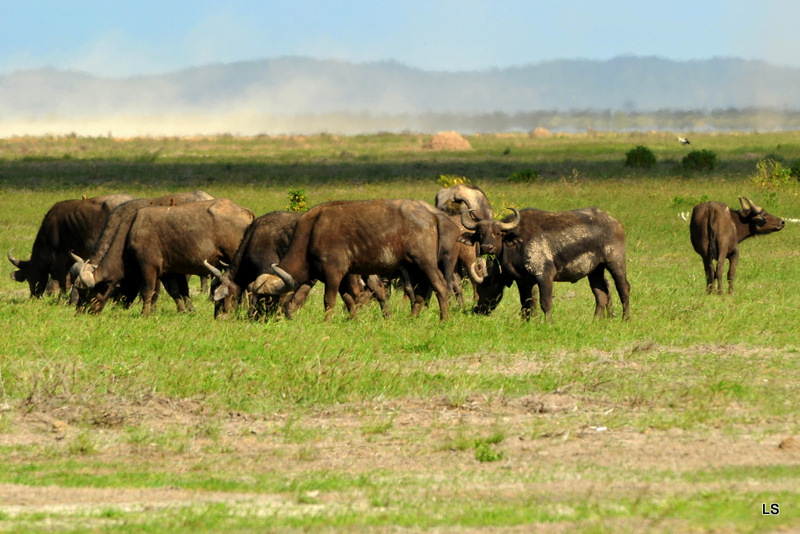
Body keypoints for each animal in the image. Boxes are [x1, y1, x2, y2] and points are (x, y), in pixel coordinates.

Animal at [247, 199, 460, 320]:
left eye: (267, 299)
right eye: (254, 297)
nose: (255, 317)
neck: (311, 234)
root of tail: (432, 215)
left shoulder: (333, 273)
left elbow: (329, 300)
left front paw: (327, 321)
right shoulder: (343, 276)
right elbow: (348, 299)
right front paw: (354, 320)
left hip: (425, 262)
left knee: (440, 286)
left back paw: (444, 319)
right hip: (412, 266)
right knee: (421, 291)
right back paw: (412, 319)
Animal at [462, 207, 632, 320]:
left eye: (497, 233)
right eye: (480, 234)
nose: (486, 247)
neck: (516, 244)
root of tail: (615, 222)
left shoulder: (544, 276)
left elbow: (545, 302)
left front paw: (548, 322)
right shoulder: (523, 281)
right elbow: (526, 303)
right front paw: (527, 322)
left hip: (615, 263)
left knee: (623, 287)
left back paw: (626, 318)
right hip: (595, 270)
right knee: (601, 293)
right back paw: (595, 320)